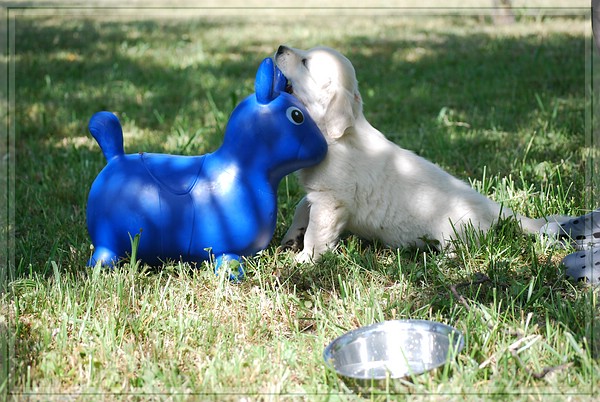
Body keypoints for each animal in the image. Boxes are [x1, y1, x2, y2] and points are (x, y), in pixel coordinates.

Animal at [275, 45, 562, 263]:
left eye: (305, 63)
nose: (279, 48)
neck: (334, 135)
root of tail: (493, 207)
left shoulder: (330, 200)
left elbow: (316, 231)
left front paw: (304, 259)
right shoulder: (317, 193)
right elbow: (302, 209)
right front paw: (290, 238)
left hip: (455, 227)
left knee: (461, 248)